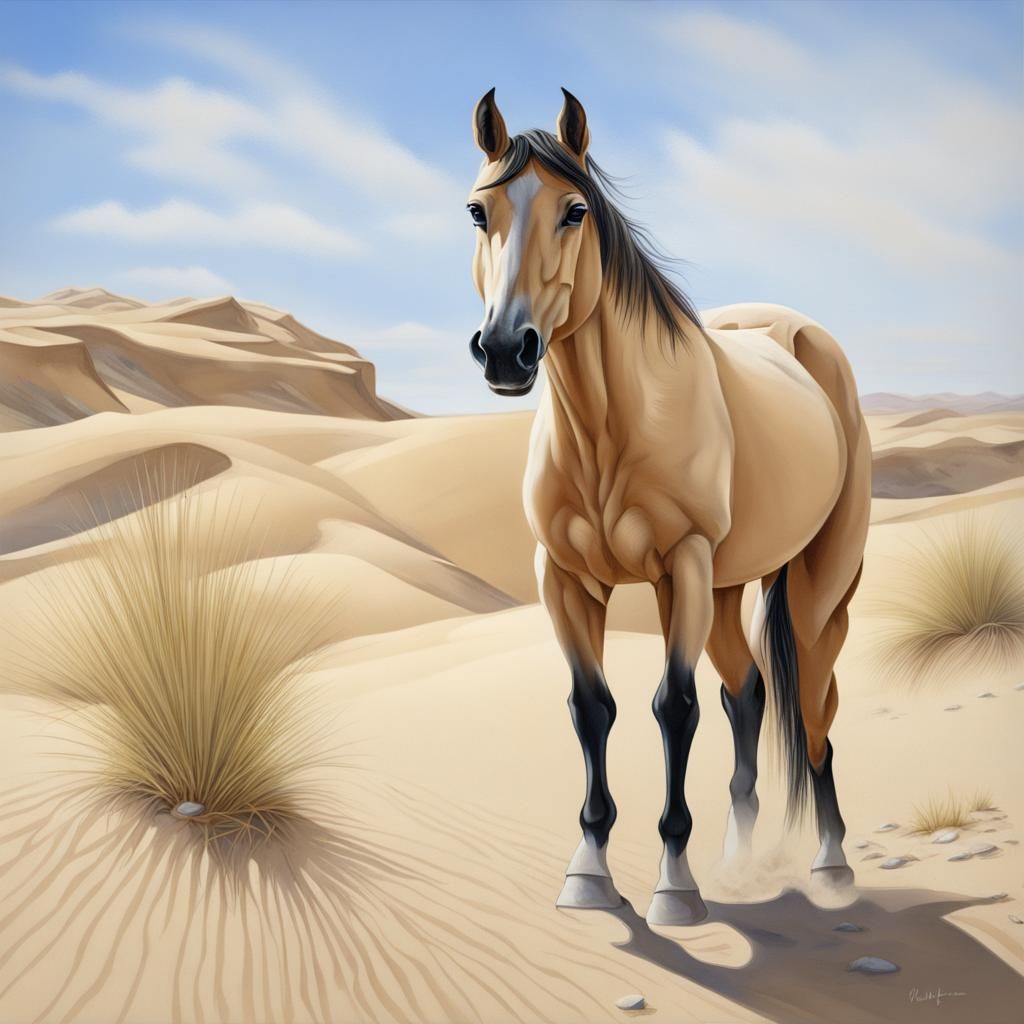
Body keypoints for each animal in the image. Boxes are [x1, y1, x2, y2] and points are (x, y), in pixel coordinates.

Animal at [464, 88, 871, 926]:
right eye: (478, 212)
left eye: (576, 211)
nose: (506, 351)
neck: (609, 428)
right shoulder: (564, 579)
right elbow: (592, 707)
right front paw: (588, 871)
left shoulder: (678, 569)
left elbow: (673, 708)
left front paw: (674, 888)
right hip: (725, 590)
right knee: (748, 695)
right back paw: (738, 862)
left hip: (816, 592)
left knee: (816, 710)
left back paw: (831, 866)